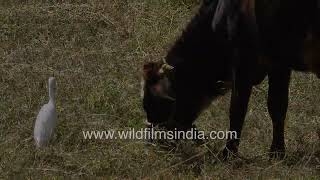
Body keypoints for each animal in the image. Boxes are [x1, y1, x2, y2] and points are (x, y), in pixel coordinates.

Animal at [142, 0, 320, 159]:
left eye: (153, 104)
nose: (151, 144)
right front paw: (277, 153)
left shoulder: (243, 62)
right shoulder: (278, 64)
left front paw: (228, 153)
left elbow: (237, 110)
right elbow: (277, 107)